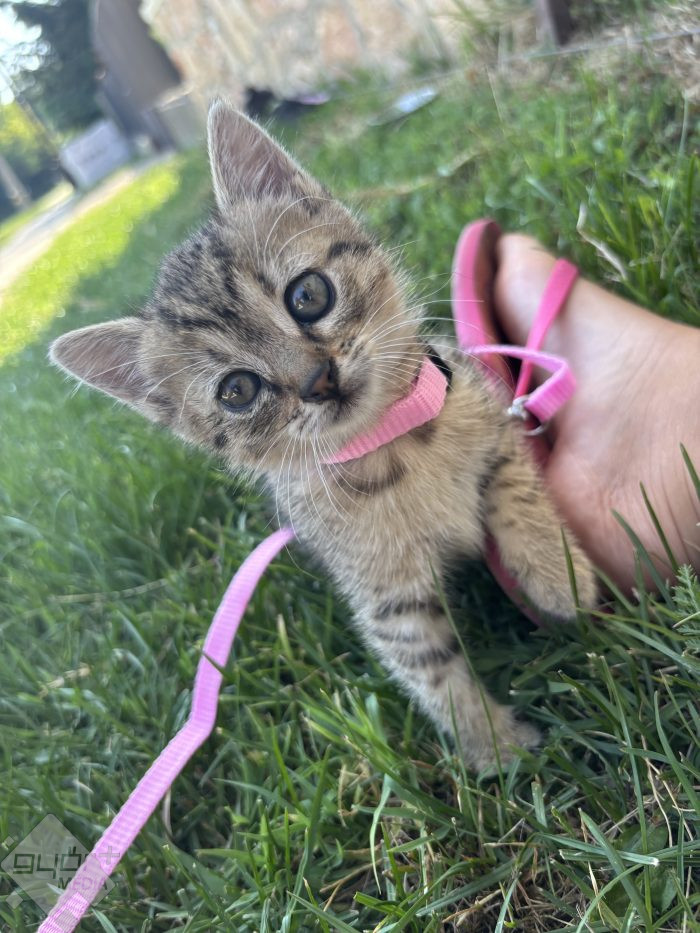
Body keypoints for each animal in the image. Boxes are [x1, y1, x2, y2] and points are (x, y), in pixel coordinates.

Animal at [50, 101, 597, 770]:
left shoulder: (490, 413)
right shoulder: (387, 598)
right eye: (237, 391)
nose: (318, 379)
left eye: (308, 294)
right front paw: (493, 745)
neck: (391, 443)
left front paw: (557, 574)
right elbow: (433, 671)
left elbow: (516, 487)